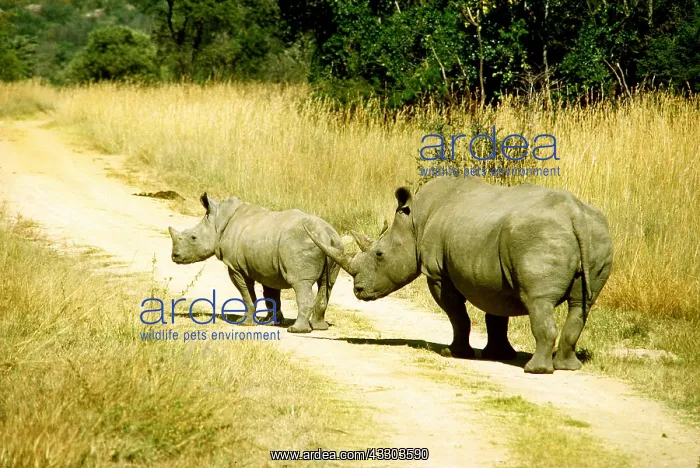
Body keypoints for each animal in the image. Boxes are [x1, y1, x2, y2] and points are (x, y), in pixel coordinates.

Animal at [169, 193, 342, 333]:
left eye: (193, 237)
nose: (174, 256)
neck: (218, 222)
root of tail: (326, 234)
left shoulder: (236, 267)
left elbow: (247, 294)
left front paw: (244, 323)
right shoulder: (268, 267)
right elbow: (271, 296)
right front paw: (271, 322)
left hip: (300, 243)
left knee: (301, 284)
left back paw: (296, 330)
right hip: (334, 244)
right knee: (327, 284)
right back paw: (319, 327)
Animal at [304, 177, 613, 373]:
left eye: (379, 254)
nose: (358, 291)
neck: (415, 220)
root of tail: (574, 214)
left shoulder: (438, 274)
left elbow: (457, 315)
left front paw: (454, 352)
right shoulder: (491, 275)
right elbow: (495, 316)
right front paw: (498, 355)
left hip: (538, 237)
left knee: (539, 301)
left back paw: (535, 370)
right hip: (597, 233)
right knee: (581, 305)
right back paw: (567, 367)